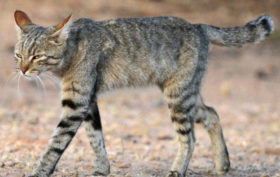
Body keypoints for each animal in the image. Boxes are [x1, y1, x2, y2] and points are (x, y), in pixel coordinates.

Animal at [13, 10, 274, 177]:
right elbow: (95, 137)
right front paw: (102, 169)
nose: (22, 70)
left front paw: (39, 171)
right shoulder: (88, 102)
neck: (71, 52)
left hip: (178, 97)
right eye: (18, 55)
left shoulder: (77, 104)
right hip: (187, 93)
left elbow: (56, 143)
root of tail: (198, 25)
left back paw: (178, 170)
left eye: (37, 56)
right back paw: (222, 165)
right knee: (212, 114)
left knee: (189, 138)